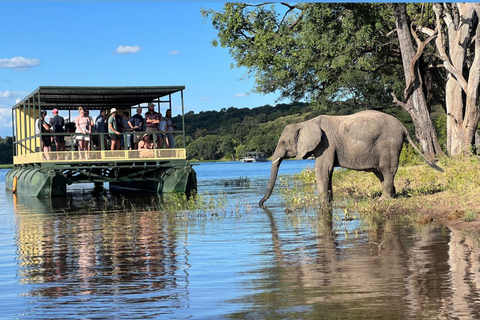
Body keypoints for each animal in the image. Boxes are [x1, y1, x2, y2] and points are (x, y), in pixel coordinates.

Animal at [258, 110, 442, 208]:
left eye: (283, 142)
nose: (260, 205)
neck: (304, 123)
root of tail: (403, 127)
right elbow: (328, 172)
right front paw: (330, 203)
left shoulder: (325, 143)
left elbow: (322, 169)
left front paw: (323, 206)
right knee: (380, 172)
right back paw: (393, 197)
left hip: (389, 143)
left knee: (387, 168)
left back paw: (383, 200)